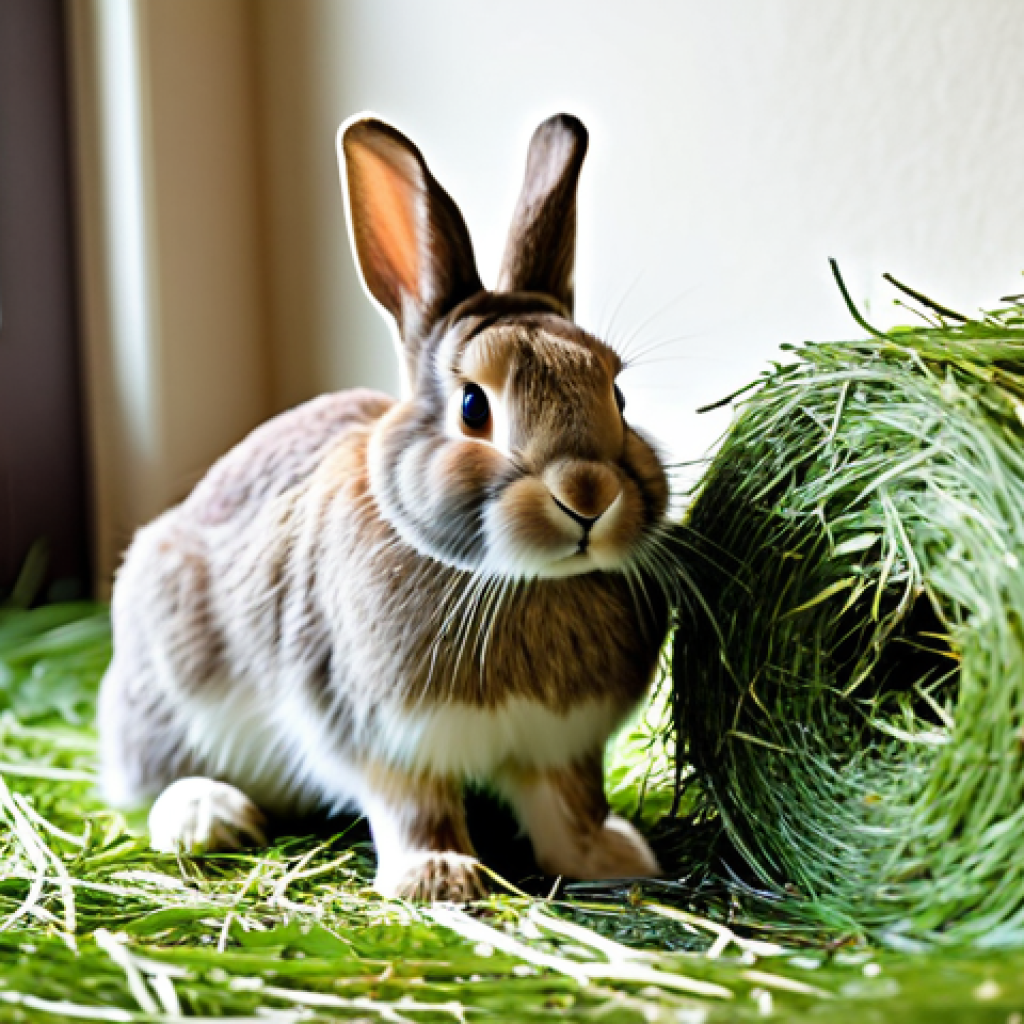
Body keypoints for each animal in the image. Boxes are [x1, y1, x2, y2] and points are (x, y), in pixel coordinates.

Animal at [98, 112, 673, 902]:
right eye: (473, 407)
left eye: (616, 394)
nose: (588, 497)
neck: (515, 582)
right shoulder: (382, 736)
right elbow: (414, 807)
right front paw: (439, 878)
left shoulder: (560, 747)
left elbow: (568, 804)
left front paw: (614, 857)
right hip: (166, 681)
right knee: (152, 776)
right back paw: (208, 816)